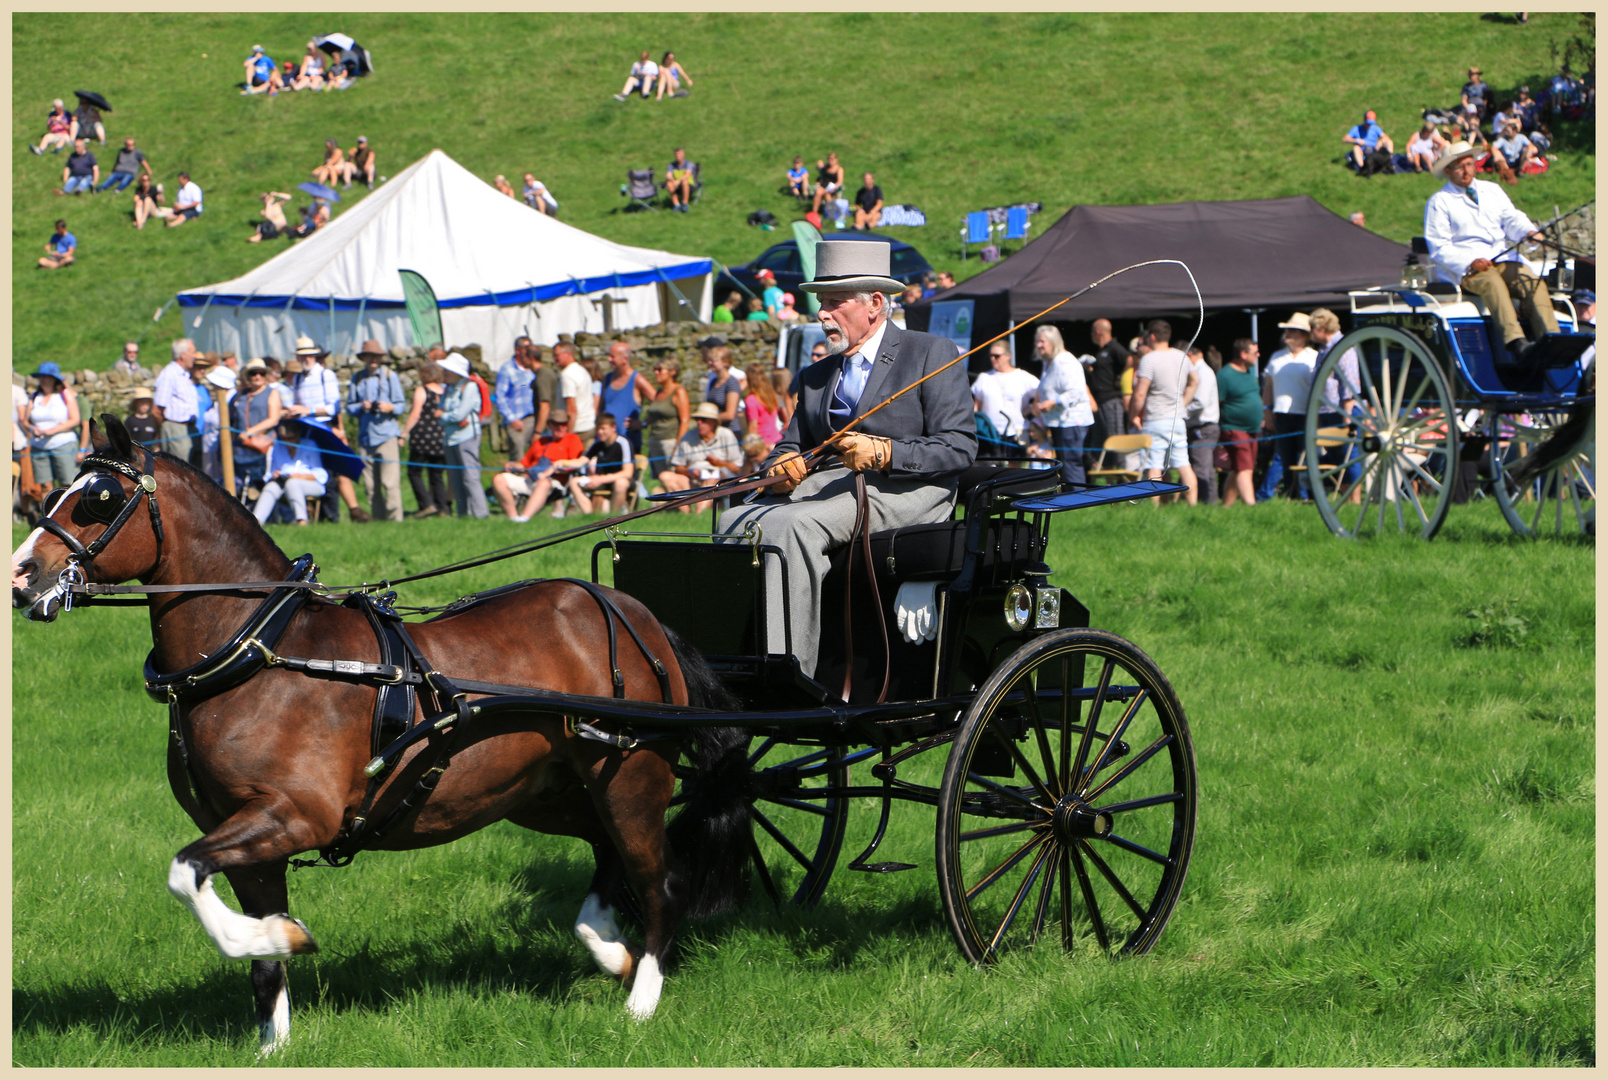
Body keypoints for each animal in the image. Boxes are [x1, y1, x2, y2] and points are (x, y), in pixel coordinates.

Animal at [12, 414, 755, 1054]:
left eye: (99, 499)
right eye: (51, 493)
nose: (22, 576)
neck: (264, 653)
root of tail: (634, 613)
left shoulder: (297, 816)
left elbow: (185, 872)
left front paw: (284, 937)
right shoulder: (247, 838)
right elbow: (248, 949)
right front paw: (273, 1022)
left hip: (631, 777)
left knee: (658, 879)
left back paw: (641, 1001)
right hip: (544, 791)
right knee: (607, 851)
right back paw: (604, 943)